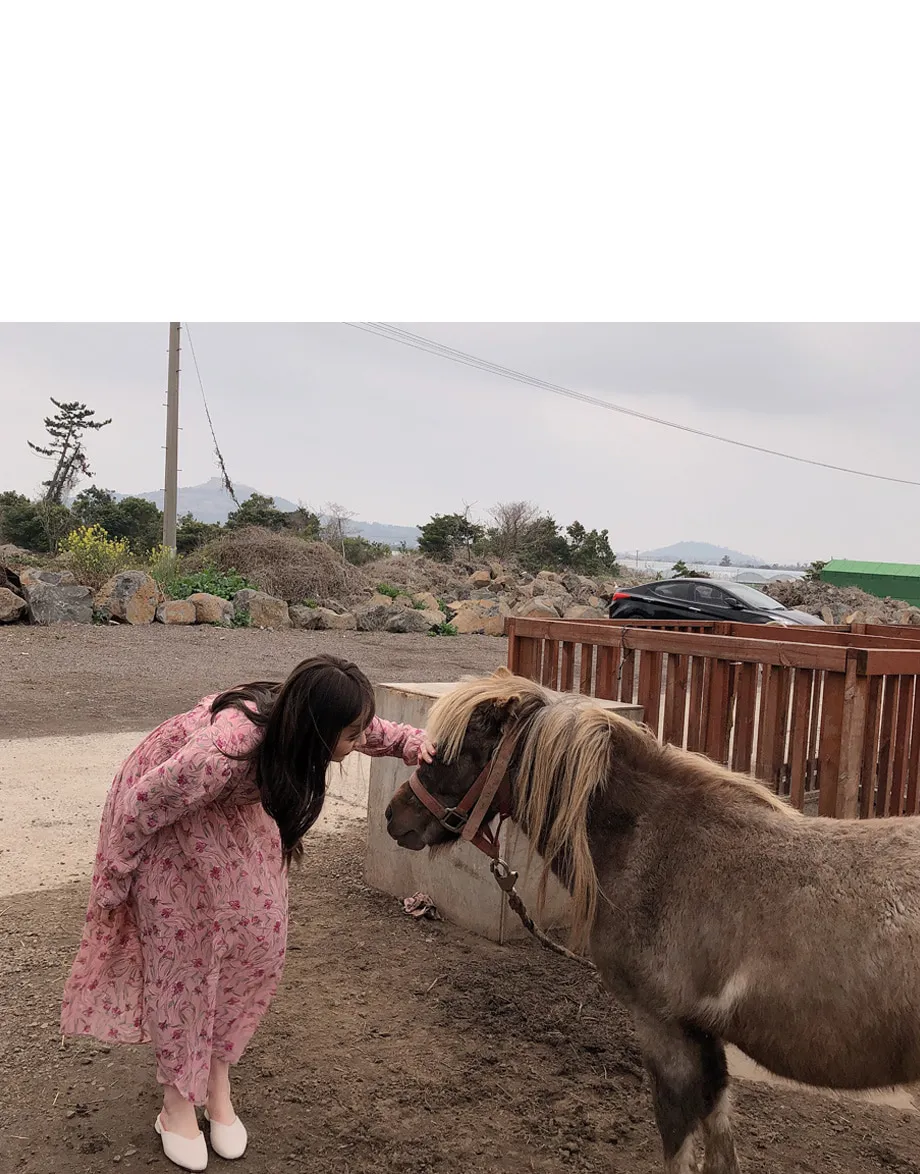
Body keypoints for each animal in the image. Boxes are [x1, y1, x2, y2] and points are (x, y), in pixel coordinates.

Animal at [382, 671, 920, 1174]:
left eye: (457, 752)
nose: (393, 816)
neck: (657, 846)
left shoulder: (664, 1028)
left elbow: (678, 1141)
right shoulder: (704, 1037)